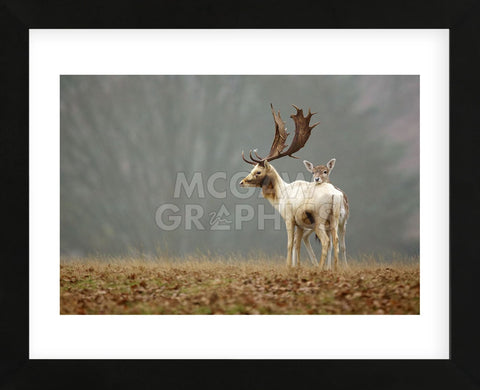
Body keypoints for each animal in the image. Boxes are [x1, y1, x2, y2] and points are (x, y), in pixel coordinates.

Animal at [240, 103, 344, 270]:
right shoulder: (300, 223)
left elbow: (289, 244)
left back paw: (320, 269)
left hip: (319, 219)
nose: (242, 182)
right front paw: (297, 267)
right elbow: (297, 244)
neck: (281, 196)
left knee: (326, 241)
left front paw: (288, 266)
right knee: (336, 241)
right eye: (252, 169)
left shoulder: (289, 218)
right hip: (334, 219)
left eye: (258, 171)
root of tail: (336, 195)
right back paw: (334, 269)